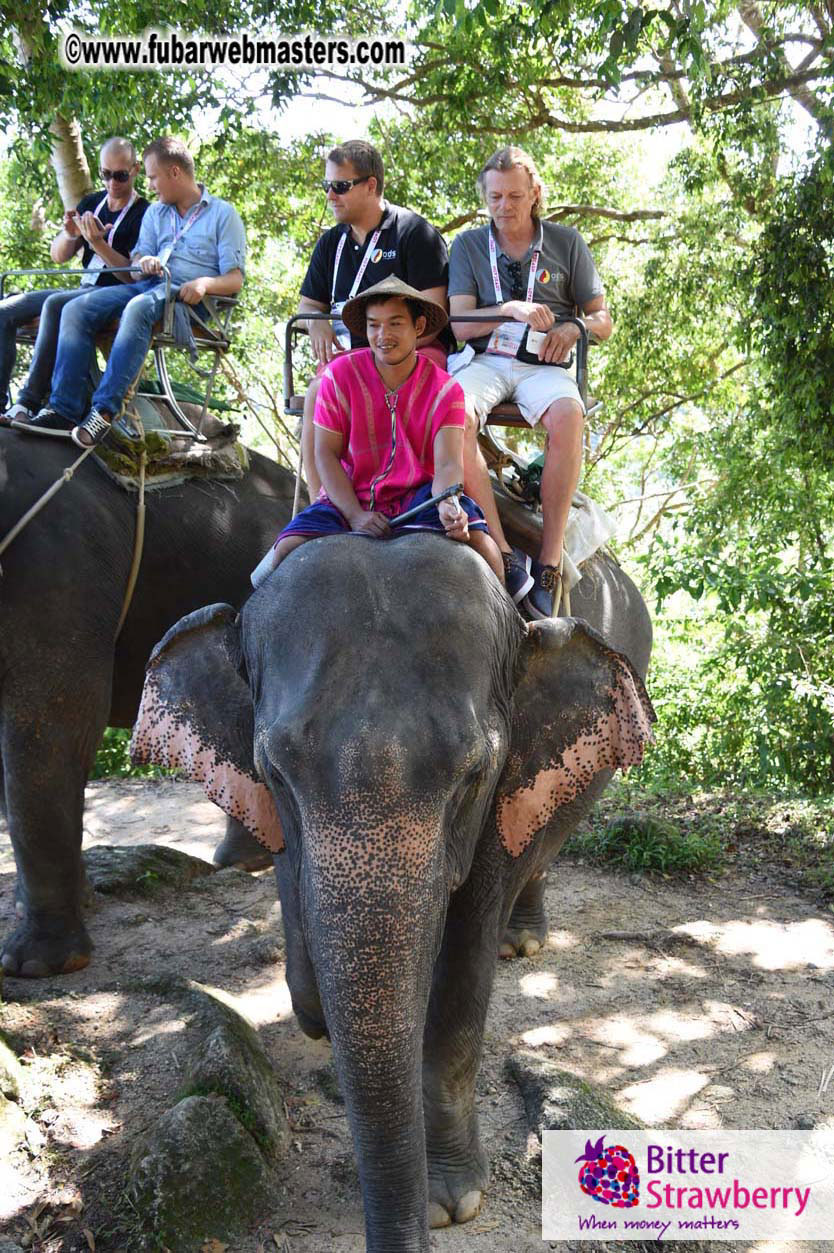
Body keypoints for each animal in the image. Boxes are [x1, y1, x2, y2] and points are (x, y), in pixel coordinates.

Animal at [131, 531, 654, 1252]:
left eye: (473, 774)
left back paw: (521, 942)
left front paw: (453, 1201)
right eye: (275, 772)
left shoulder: (503, 786)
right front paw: (317, 1013)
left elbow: (463, 969)